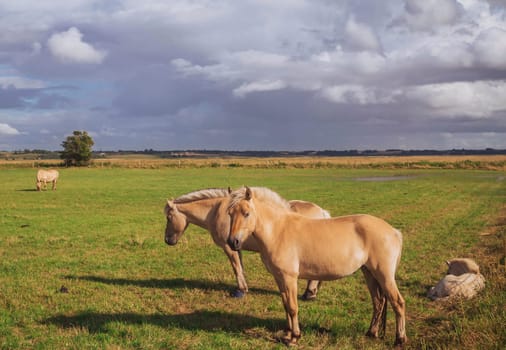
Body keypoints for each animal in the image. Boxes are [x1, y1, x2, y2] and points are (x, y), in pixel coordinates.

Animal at [164, 187, 330, 300]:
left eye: (169, 217)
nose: (167, 240)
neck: (216, 211)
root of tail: (322, 212)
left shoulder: (228, 247)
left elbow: (236, 268)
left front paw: (240, 291)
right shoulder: (236, 246)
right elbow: (241, 267)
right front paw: (243, 288)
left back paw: (309, 294)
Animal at [226, 187, 408, 346]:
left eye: (246, 213)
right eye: (229, 213)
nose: (232, 242)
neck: (279, 231)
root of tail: (394, 232)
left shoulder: (289, 278)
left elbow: (293, 307)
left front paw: (294, 337)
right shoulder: (279, 278)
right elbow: (286, 305)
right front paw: (287, 334)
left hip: (384, 276)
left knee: (398, 303)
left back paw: (400, 339)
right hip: (369, 273)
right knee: (378, 302)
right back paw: (371, 333)